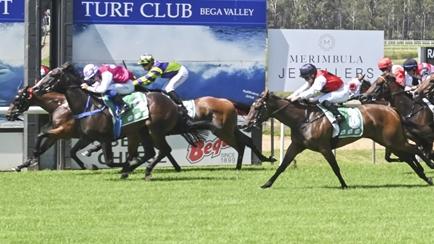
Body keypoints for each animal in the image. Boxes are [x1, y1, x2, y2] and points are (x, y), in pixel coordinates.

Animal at [246, 90, 432, 188]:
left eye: (257, 107)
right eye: (252, 106)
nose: (247, 123)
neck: (304, 118)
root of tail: (392, 109)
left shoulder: (325, 148)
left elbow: (335, 167)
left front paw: (344, 184)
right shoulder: (297, 145)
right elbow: (282, 165)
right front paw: (267, 183)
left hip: (393, 140)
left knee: (415, 149)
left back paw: (429, 167)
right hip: (388, 141)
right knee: (408, 156)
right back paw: (424, 176)